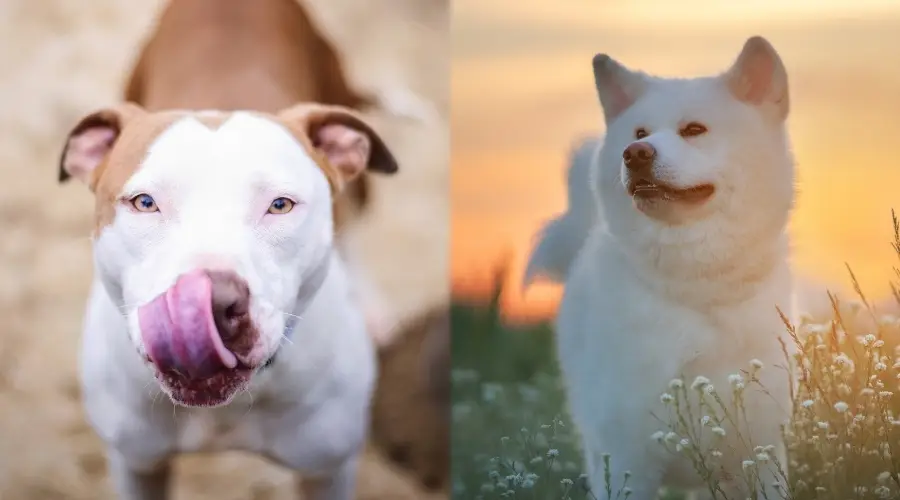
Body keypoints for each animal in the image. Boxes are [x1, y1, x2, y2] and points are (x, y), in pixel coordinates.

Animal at [536, 37, 796, 498]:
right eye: (639, 133)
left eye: (694, 130)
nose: (635, 154)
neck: (695, 287)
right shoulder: (626, 458)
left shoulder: (762, 452)